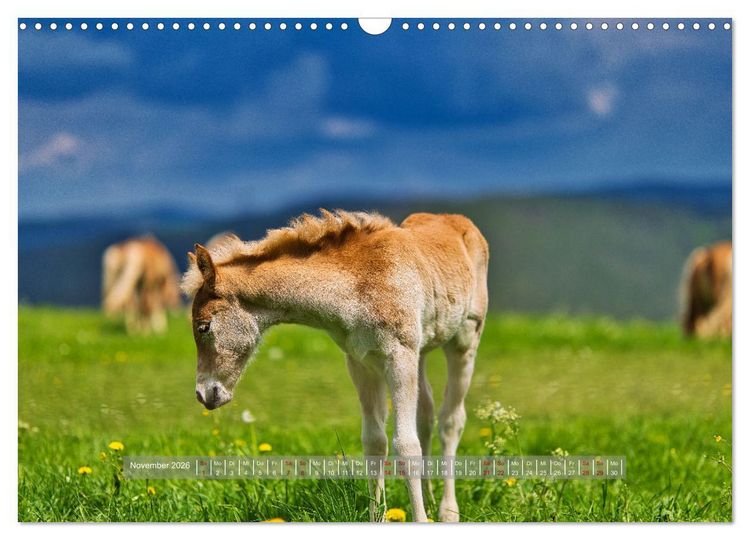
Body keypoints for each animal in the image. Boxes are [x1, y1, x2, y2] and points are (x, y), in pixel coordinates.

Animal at [182, 210, 489, 522]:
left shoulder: (399, 356)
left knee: (451, 420)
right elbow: (374, 442)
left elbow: (406, 444)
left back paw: (447, 511)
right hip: (422, 350)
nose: (204, 394)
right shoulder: (361, 362)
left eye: (203, 327)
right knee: (426, 413)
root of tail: (456, 219)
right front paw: (377, 517)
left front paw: (421, 519)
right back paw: (428, 495)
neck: (358, 285)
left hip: (464, 339)